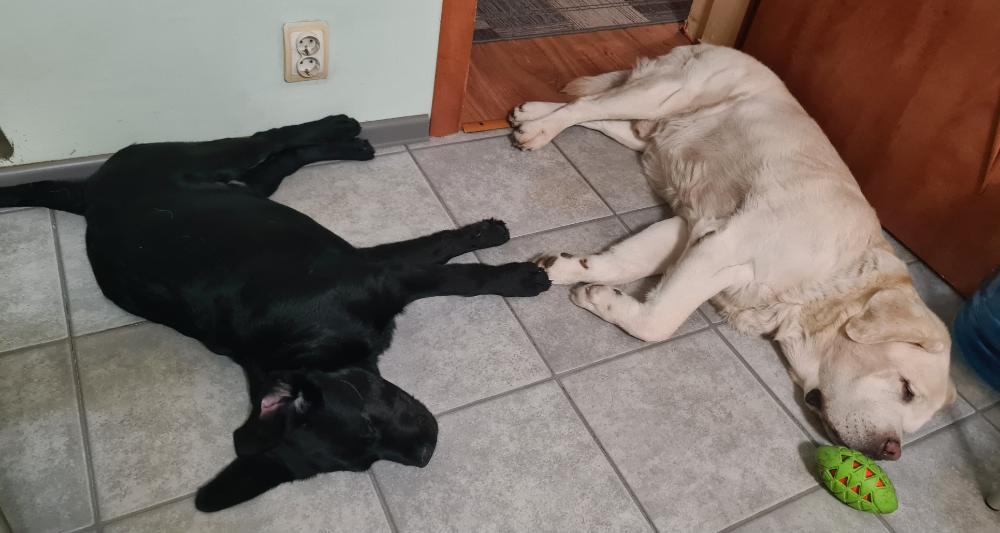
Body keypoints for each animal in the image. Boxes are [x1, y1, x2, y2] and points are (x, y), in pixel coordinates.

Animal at [0, 115, 550, 511]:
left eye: (369, 428)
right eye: (366, 459)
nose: (426, 454)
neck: (307, 344)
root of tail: (88, 195)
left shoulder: (383, 272)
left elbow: (456, 270)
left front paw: (510, 265)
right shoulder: (381, 271)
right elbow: (448, 267)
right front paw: (511, 264)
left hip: (206, 157)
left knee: (265, 138)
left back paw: (341, 127)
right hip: (243, 188)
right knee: (273, 162)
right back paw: (350, 144)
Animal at [509, 44, 954, 460]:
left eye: (914, 422)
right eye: (907, 389)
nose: (891, 452)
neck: (833, 277)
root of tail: (720, 46)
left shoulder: (692, 227)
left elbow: (625, 262)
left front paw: (571, 269)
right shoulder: (722, 244)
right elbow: (659, 322)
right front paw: (602, 298)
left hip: (650, 129)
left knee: (598, 112)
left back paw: (530, 112)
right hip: (663, 94)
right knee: (586, 105)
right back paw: (539, 128)